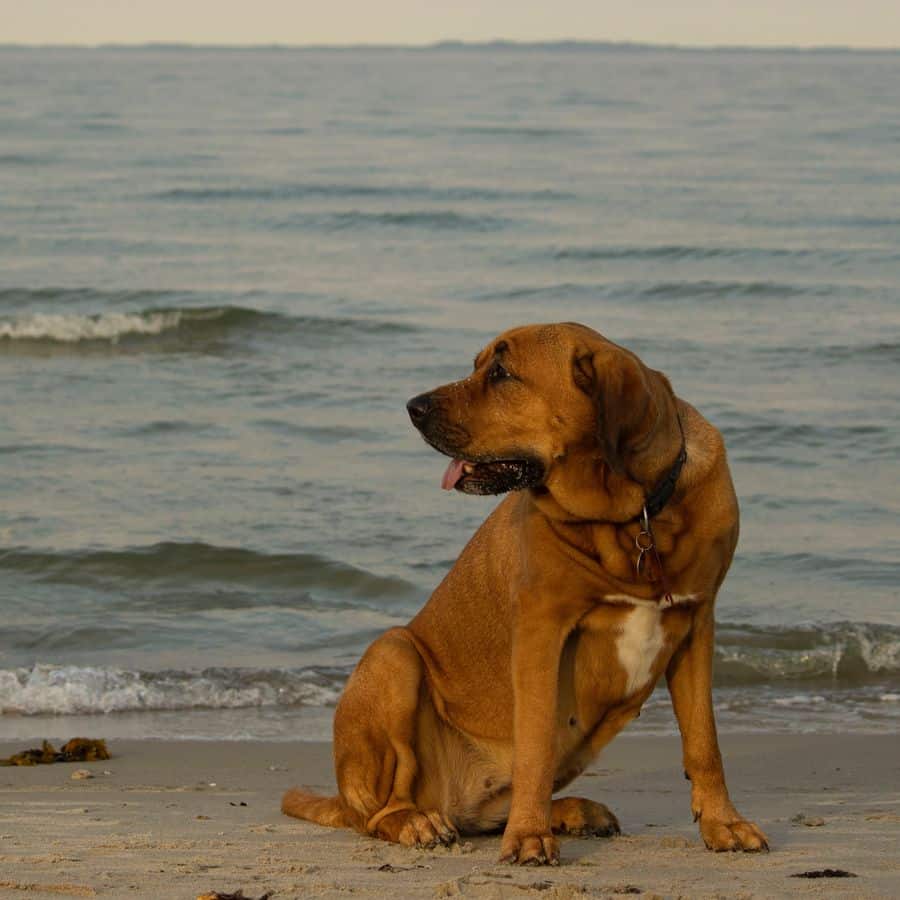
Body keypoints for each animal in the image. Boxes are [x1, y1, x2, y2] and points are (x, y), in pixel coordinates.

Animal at [282, 324, 768, 864]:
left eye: (500, 372)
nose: (413, 406)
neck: (633, 517)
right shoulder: (542, 631)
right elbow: (535, 744)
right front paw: (530, 837)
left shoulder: (696, 623)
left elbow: (705, 741)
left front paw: (724, 823)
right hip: (392, 654)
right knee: (378, 812)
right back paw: (417, 821)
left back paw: (570, 811)